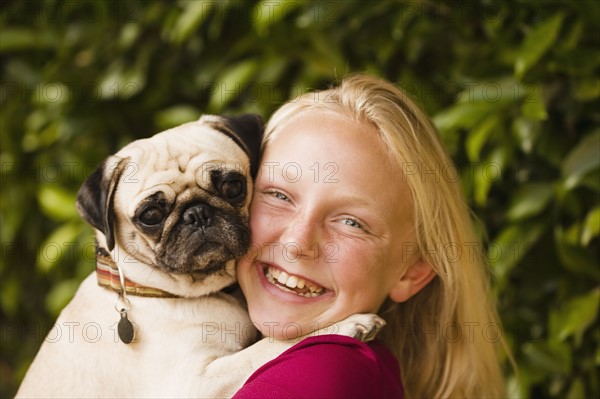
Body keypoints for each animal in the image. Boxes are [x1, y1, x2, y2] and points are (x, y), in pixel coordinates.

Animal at [18, 114, 386, 398]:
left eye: (233, 186)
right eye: (150, 215)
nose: (197, 214)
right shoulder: (194, 384)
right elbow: (271, 346)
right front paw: (348, 324)